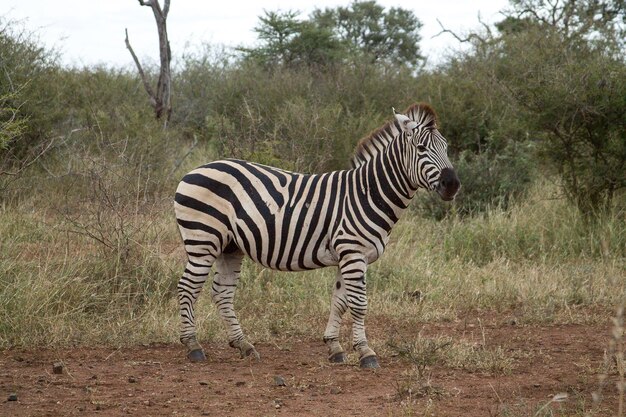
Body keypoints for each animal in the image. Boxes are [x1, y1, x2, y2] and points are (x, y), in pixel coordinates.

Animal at [174, 103, 458, 368]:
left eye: (446, 148)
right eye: (421, 148)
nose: (453, 185)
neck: (368, 193)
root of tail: (193, 170)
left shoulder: (350, 256)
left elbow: (340, 301)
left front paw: (335, 348)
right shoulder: (353, 253)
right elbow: (359, 303)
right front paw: (366, 352)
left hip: (230, 247)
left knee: (222, 292)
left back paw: (244, 345)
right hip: (203, 240)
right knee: (188, 287)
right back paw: (193, 345)